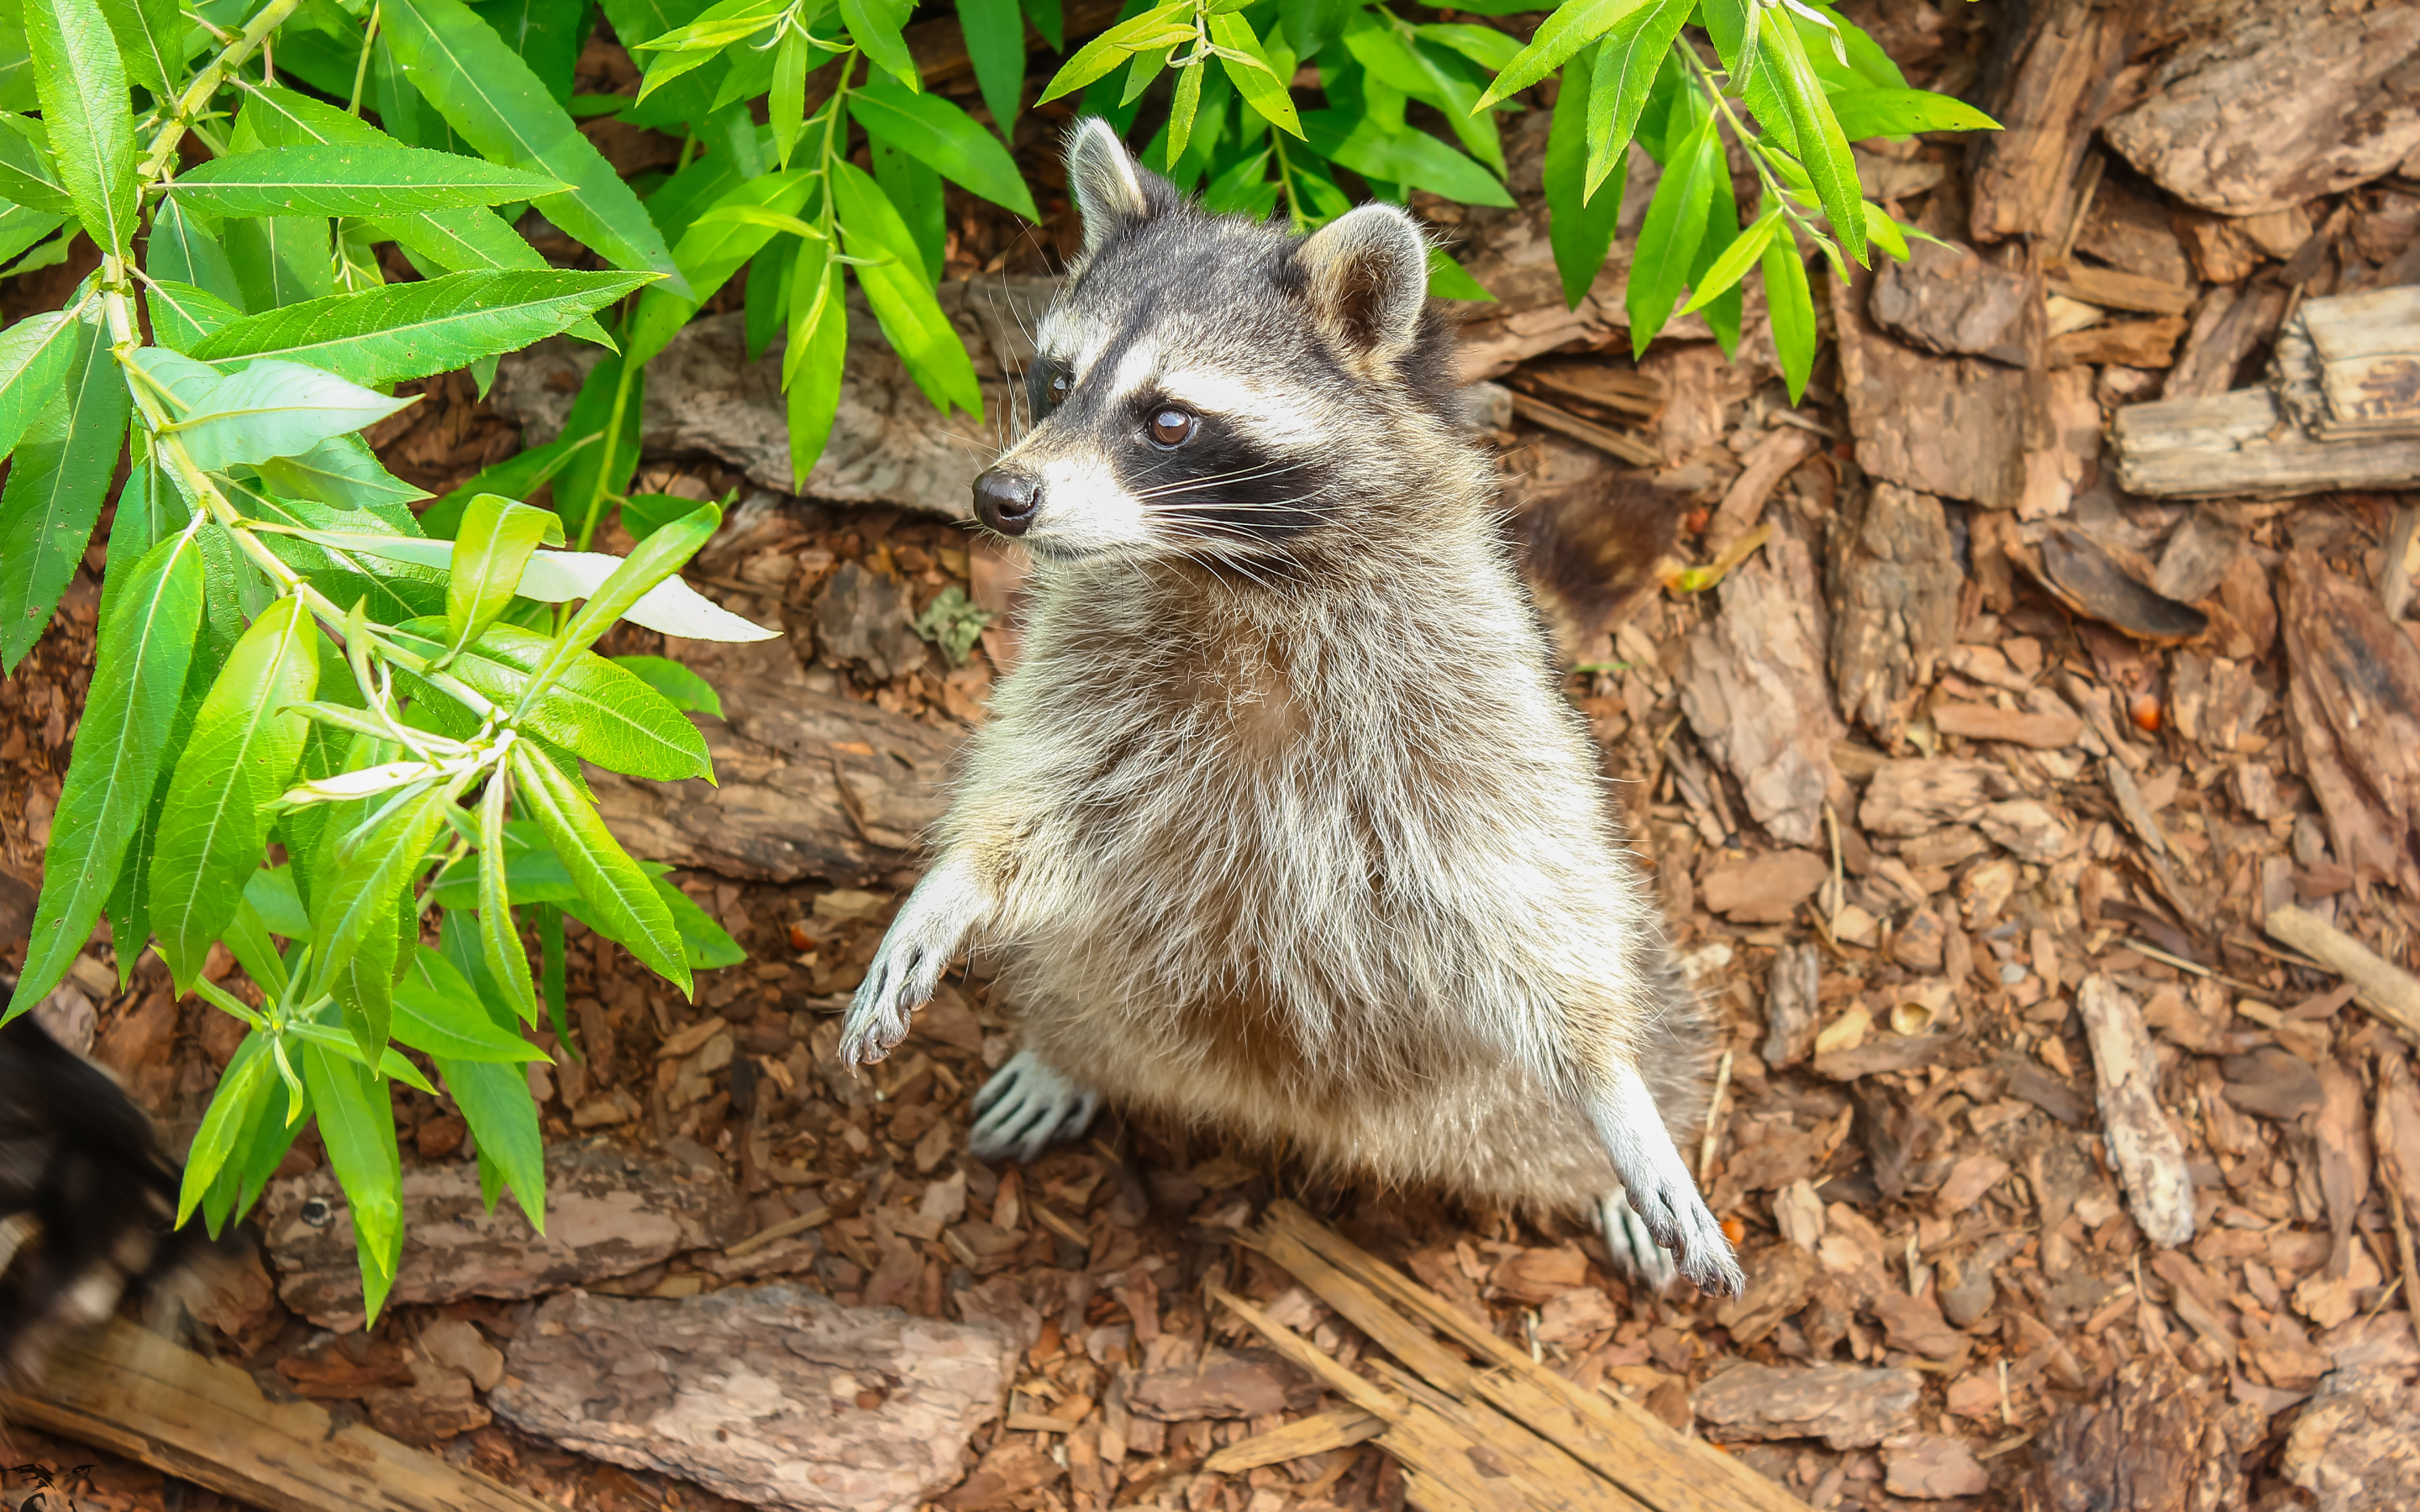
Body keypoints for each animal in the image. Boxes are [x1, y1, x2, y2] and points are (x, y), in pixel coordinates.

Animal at [837, 123, 1742, 1287]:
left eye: (1169, 420)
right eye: (1055, 379)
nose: (1002, 498)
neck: (1227, 570)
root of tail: (1280, 1111)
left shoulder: (1465, 675)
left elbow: (1525, 883)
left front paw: (1609, 1083)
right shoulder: (1095, 654)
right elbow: (1043, 786)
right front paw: (951, 885)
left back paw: (1598, 1151)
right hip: (1122, 965)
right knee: (1076, 969)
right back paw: (1068, 1052)